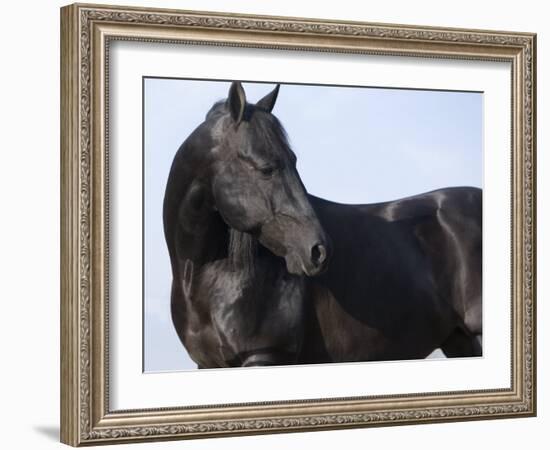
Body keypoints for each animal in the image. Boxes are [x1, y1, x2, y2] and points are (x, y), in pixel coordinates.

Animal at [164, 81, 484, 370]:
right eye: (267, 168)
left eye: (294, 160)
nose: (319, 250)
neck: (210, 274)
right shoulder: (208, 365)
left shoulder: (262, 356)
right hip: (459, 340)